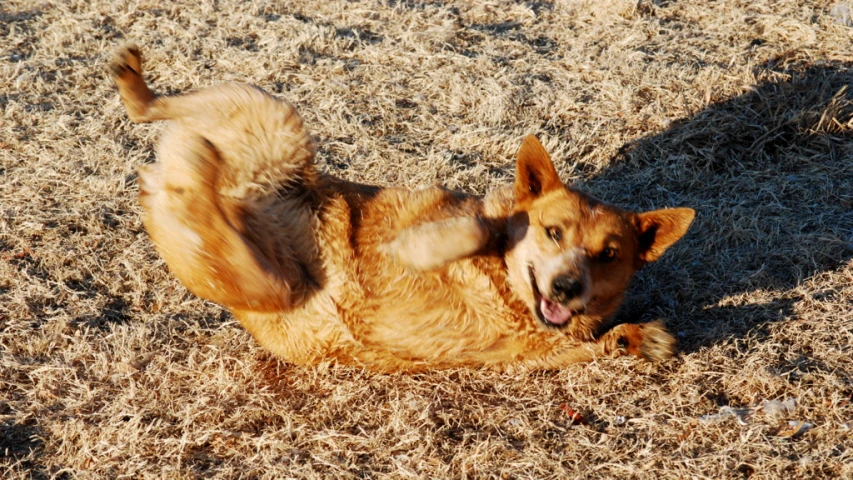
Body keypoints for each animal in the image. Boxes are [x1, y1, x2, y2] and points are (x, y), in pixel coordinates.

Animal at [110, 44, 696, 372]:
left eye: (608, 254)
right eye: (553, 232)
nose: (567, 287)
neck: (508, 295)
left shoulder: (541, 355)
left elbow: (605, 343)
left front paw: (641, 339)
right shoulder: (449, 216)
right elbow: (471, 226)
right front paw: (428, 245)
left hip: (264, 275)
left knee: (199, 204)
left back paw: (187, 167)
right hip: (275, 119)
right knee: (162, 118)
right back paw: (145, 96)